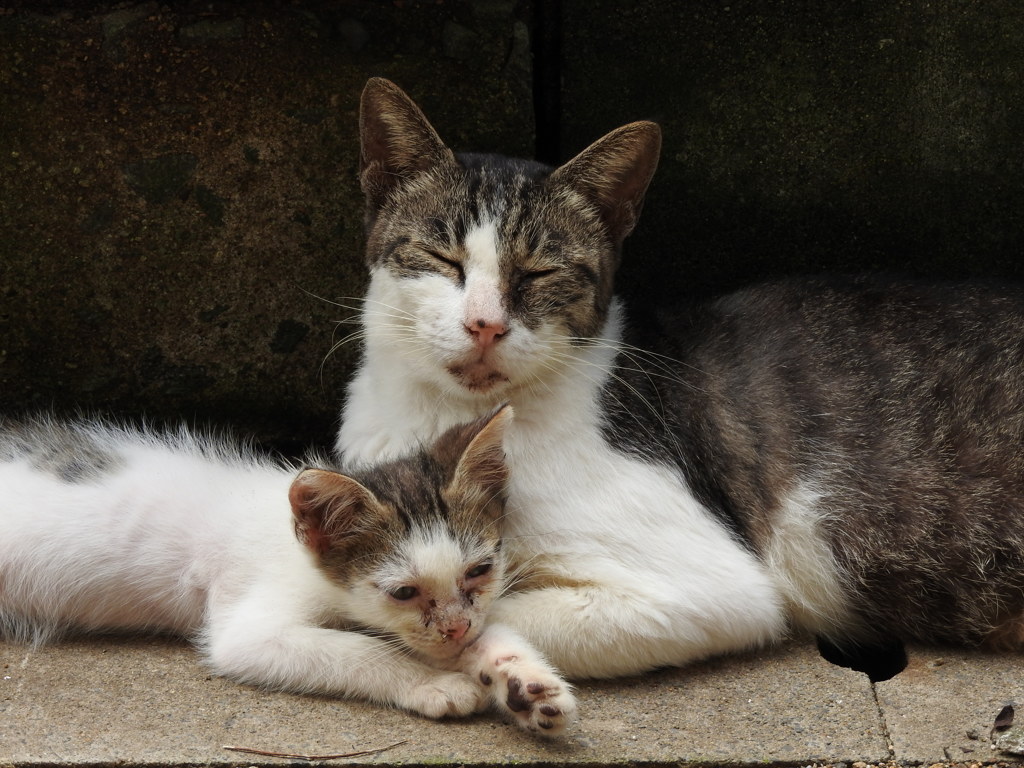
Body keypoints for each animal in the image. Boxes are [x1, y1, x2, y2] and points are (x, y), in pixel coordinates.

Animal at [0, 409, 577, 733]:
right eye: (403, 592)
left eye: (479, 570)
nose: (457, 628)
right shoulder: (250, 625)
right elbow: (357, 650)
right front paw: (431, 683)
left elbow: (489, 630)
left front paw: (523, 682)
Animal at [339, 78, 1024, 679]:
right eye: (441, 258)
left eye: (539, 272)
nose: (484, 324)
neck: (439, 416)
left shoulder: (714, 586)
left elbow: (485, 614)